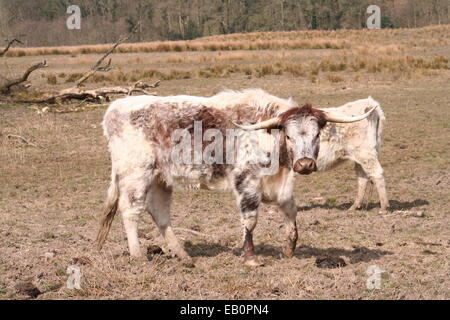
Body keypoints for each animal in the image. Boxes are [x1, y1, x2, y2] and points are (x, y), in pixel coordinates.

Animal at [96, 89, 376, 266]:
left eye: (317, 134)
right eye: (289, 135)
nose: (305, 164)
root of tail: (115, 108)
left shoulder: (281, 186)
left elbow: (290, 211)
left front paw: (289, 248)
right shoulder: (246, 182)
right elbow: (250, 219)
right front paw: (250, 257)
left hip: (160, 178)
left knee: (159, 212)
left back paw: (183, 256)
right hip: (136, 174)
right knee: (131, 210)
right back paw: (138, 255)